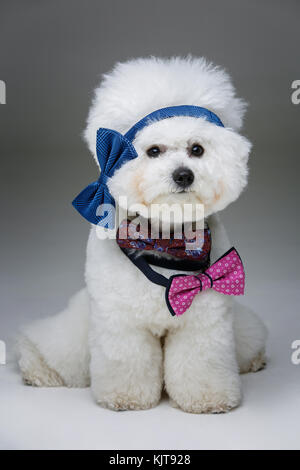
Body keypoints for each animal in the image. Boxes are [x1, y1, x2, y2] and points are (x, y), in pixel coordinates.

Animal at [18, 57, 268, 414]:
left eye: (197, 149)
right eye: (153, 151)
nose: (183, 174)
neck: (165, 240)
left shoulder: (205, 319)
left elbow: (201, 362)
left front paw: (209, 398)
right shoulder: (120, 321)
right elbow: (127, 361)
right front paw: (126, 397)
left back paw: (255, 359)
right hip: (79, 327)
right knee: (55, 346)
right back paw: (37, 368)